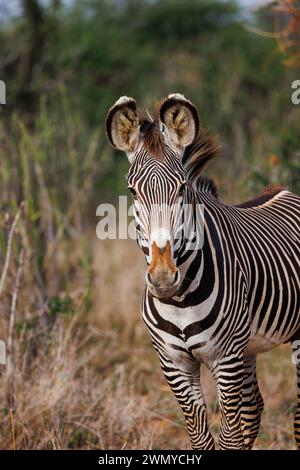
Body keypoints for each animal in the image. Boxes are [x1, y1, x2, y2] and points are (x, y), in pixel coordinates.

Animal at [106, 93, 300, 450]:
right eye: (132, 191)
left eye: (182, 187)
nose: (164, 278)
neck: (180, 300)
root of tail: (283, 190)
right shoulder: (174, 363)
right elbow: (201, 437)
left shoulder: (225, 359)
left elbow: (229, 437)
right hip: (247, 347)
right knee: (254, 409)